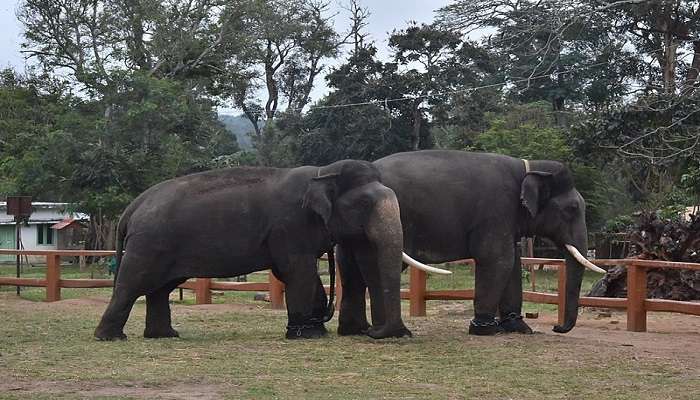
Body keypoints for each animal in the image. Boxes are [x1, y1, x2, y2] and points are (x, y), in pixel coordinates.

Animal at [93, 159, 442, 340]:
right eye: (365, 204)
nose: (377, 334)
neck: (323, 171)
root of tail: (132, 206)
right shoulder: (289, 224)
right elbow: (296, 271)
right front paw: (305, 335)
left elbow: (302, 275)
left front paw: (314, 329)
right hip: (148, 244)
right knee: (132, 284)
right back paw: (110, 337)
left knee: (161, 289)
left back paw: (165, 335)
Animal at [336, 148, 604, 336]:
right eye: (572, 209)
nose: (557, 328)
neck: (529, 166)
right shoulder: (496, 210)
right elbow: (498, 259)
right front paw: (485, 329)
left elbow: (513, 262)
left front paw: (520, 329)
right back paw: (381, 332)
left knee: (352, 272)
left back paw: (356, 330)